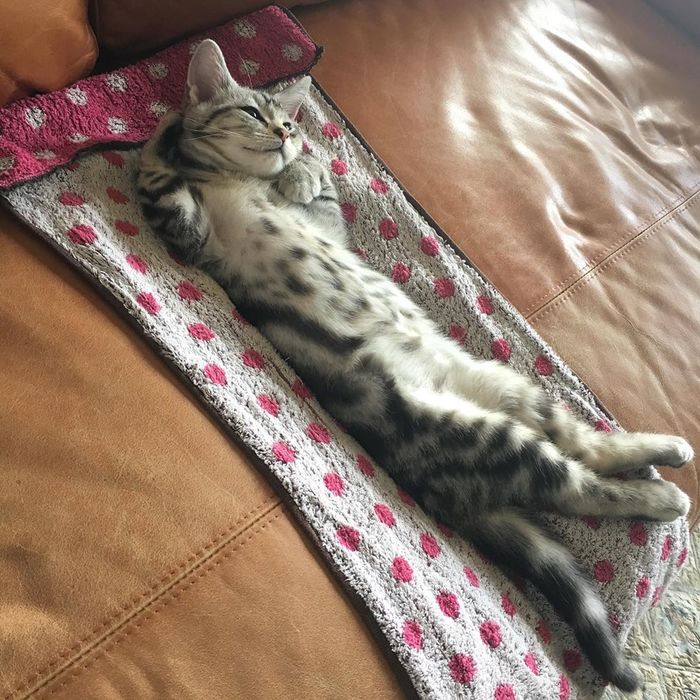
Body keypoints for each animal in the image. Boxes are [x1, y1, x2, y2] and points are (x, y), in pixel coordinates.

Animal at [138, 39, 693, 693]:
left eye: (288, 120)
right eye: (252, 112)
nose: (284, 134)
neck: (234, 180)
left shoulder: (326, 225)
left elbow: (323, 194)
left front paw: (302, 167)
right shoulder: (198, 242)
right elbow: (164, 185)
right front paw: (165, 139)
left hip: (509, 389)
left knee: (585, 449)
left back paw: (663, 454)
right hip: (472, 429)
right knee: (576, 484)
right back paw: (663, 498)